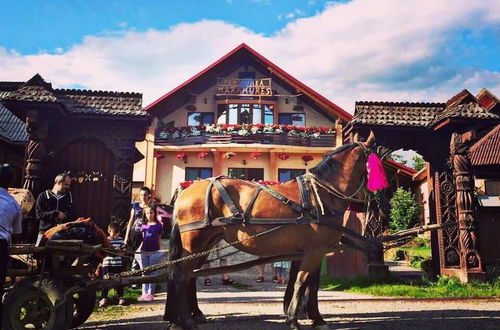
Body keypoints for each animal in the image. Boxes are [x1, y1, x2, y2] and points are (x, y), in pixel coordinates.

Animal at [164, 133, 378, 328]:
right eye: (379, 159)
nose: (372, 202)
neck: (321, 195)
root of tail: (186, 191)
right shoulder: (314, 251)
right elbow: (301, 282)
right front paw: (294, 319)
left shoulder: (314, 251)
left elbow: (310, 284)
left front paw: (315, 318)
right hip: (194, 244)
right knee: (181, 277)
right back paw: (185, 321)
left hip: (205, 245)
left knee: (188, 276)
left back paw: (186, 317)